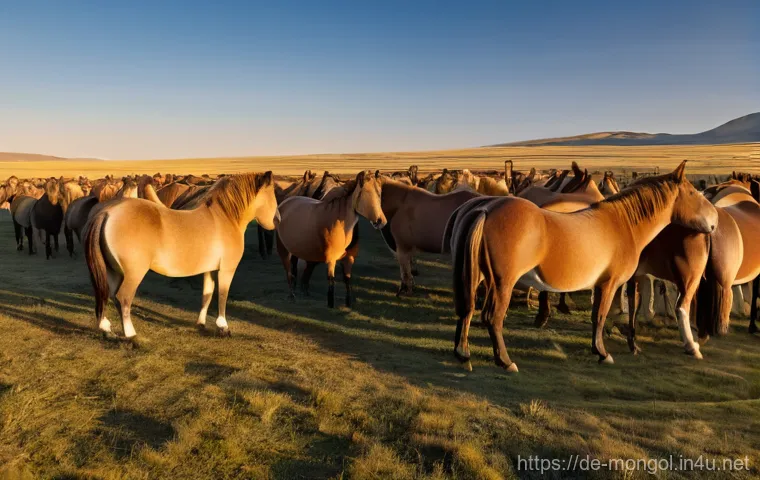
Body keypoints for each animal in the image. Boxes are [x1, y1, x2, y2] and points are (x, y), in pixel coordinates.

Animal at [84, 172, 279, 341]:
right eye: (272, 195)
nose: (277, 220)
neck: (224, 217)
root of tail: (107, 213)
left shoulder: (210, 270)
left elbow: (207, 295)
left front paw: (201, 323)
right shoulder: (226, 270)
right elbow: (222, 296)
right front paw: (223, 327)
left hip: (113, 272)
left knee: (109, 295)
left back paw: (107, 330)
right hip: (133, 274)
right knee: (123, 298)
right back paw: (131, 335)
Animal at [275, 170, 386, 308]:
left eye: (379, 193)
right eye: (366, 193)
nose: (381, 221)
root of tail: (285, 203)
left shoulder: (349, 258)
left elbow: (347, 279)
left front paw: (349, 302)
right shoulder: (331, 258)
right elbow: (331, 280)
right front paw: (330, 303)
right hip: (283, 249)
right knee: (289, 269)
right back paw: (292, 295)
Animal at [447, 161, 717, 371]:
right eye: (692, 193)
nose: (714, 220)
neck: (623, 224)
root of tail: (486, 209)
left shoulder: (601, 285)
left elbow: (596, 316)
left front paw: (598, 349)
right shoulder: (609, 284)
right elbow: (600, 315)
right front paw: (603, 353)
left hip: (478, 277)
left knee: (467, 310)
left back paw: (463, 353)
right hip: (503, 283)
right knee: (492, 318)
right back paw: (505, 361)